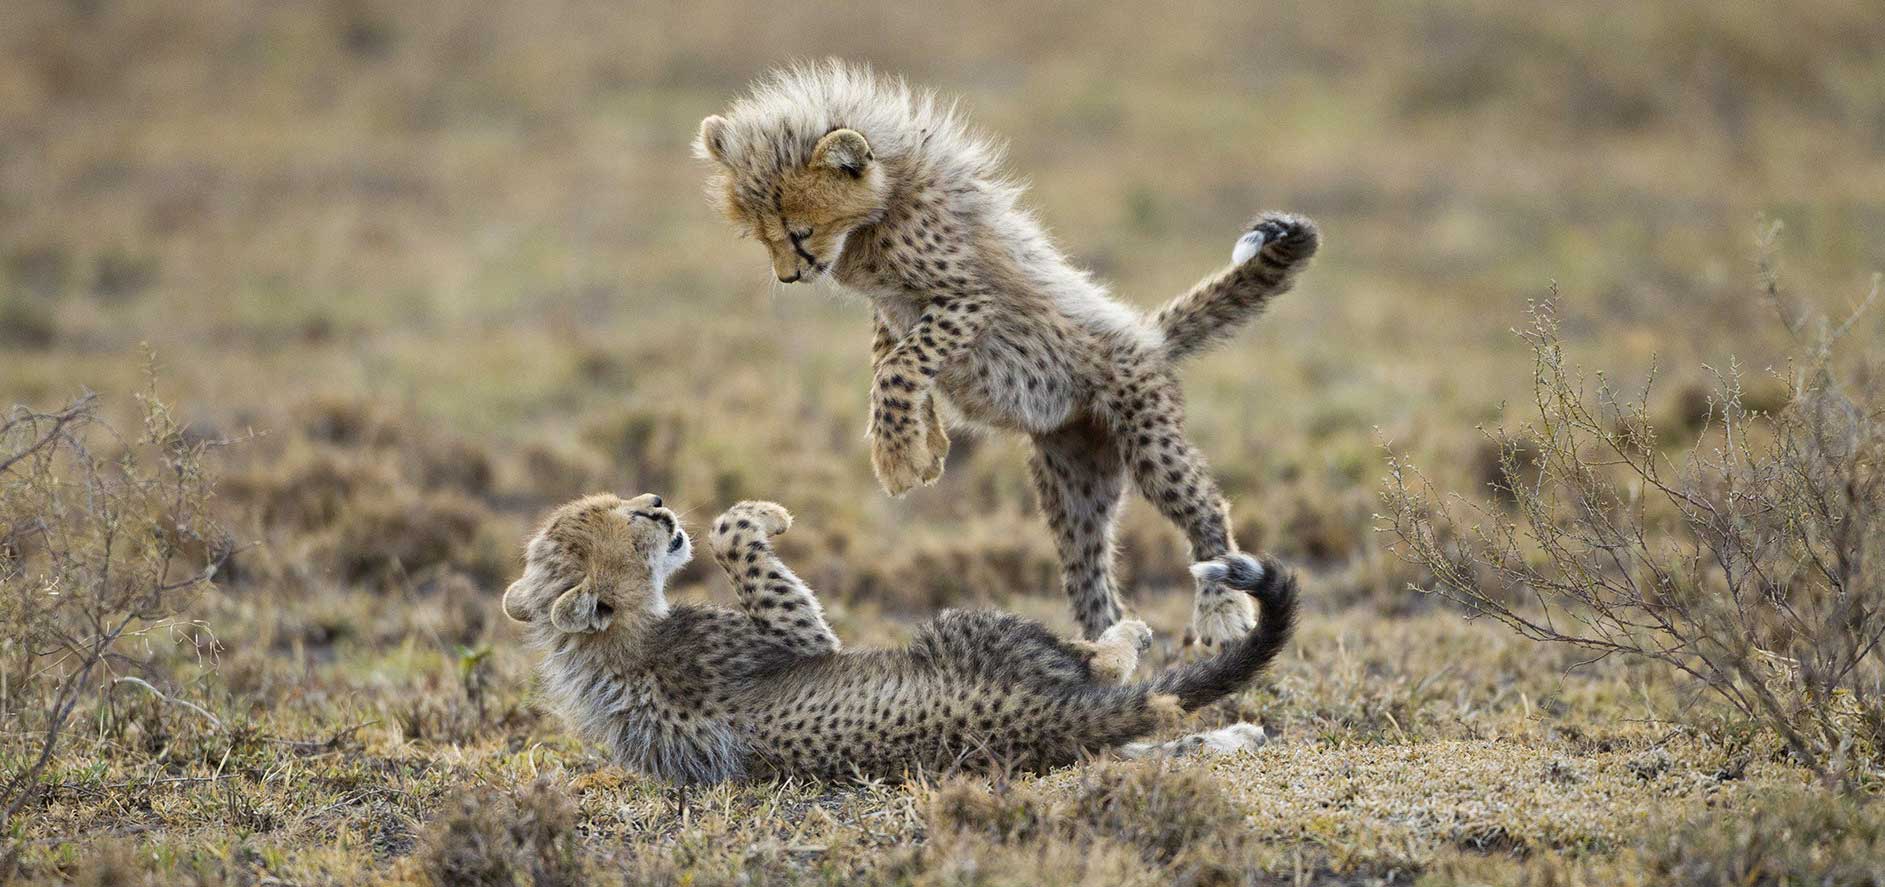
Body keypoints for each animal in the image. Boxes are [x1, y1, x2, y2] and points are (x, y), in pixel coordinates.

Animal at [501, 493, 1298, 785]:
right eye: (628, 519)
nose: (659, 504)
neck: (613, 645)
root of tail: (1033, 721)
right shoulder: (801, 638)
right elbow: (735, 538)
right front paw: (764, 515)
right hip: (967, 628)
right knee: (1106, 675)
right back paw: (1123, 632)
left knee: (1146, 739)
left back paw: (1238, 735)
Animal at [695, 60, 1320, 646]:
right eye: (760, 235)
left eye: (798, 231)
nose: (789, 275)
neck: (884, 205)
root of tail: (1146, 334)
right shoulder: (893, 309)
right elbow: (889, 356)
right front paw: (926, 445)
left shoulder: (970, 300)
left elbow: (900, 365)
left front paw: (898, 458)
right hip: (1075, 485)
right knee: (1090, 577)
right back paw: (1105, 651)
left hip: (1148, 438)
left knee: (1206, 509)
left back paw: (1220, 610)